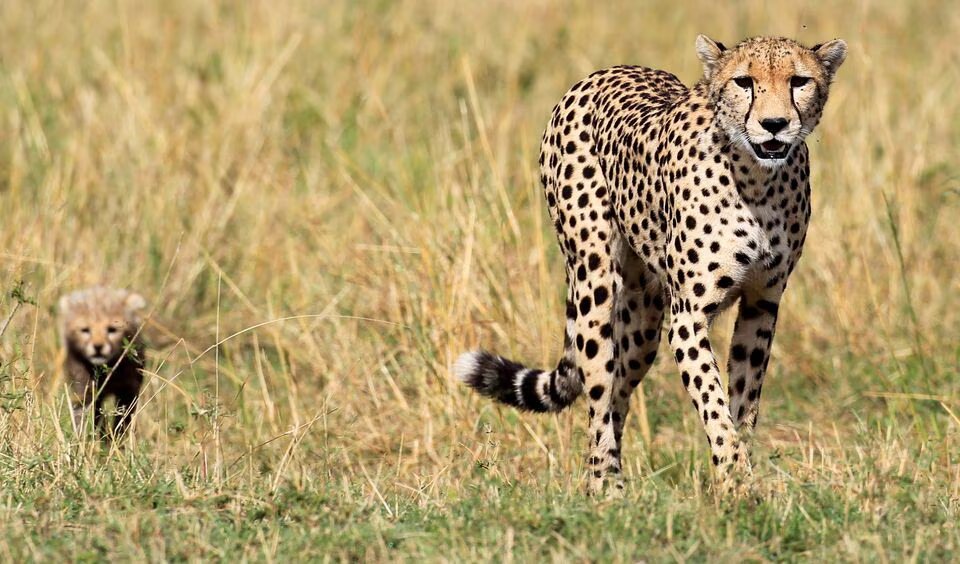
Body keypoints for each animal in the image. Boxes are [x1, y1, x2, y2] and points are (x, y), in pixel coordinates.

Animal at [59, 286, 148, 440]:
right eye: (85, 330)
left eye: (112, 329)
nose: (98, 347)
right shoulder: (86, 390)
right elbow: (84, 416)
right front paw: (82, 440)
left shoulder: (129, 391)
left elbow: (122, 420)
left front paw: (118, 439)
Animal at [455, 35, 847, 495]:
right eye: (744, 82)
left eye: (799, 81)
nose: (774, 124)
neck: (757, 179)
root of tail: (603, 72)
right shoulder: (689, 316)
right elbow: (714, 405)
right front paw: (735, 482)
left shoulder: (762, 304)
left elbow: (743, 404)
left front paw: (743, 479)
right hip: (594, 284)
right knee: (599, 394)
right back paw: (606, 489)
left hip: (644, 320)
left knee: (619, 390)